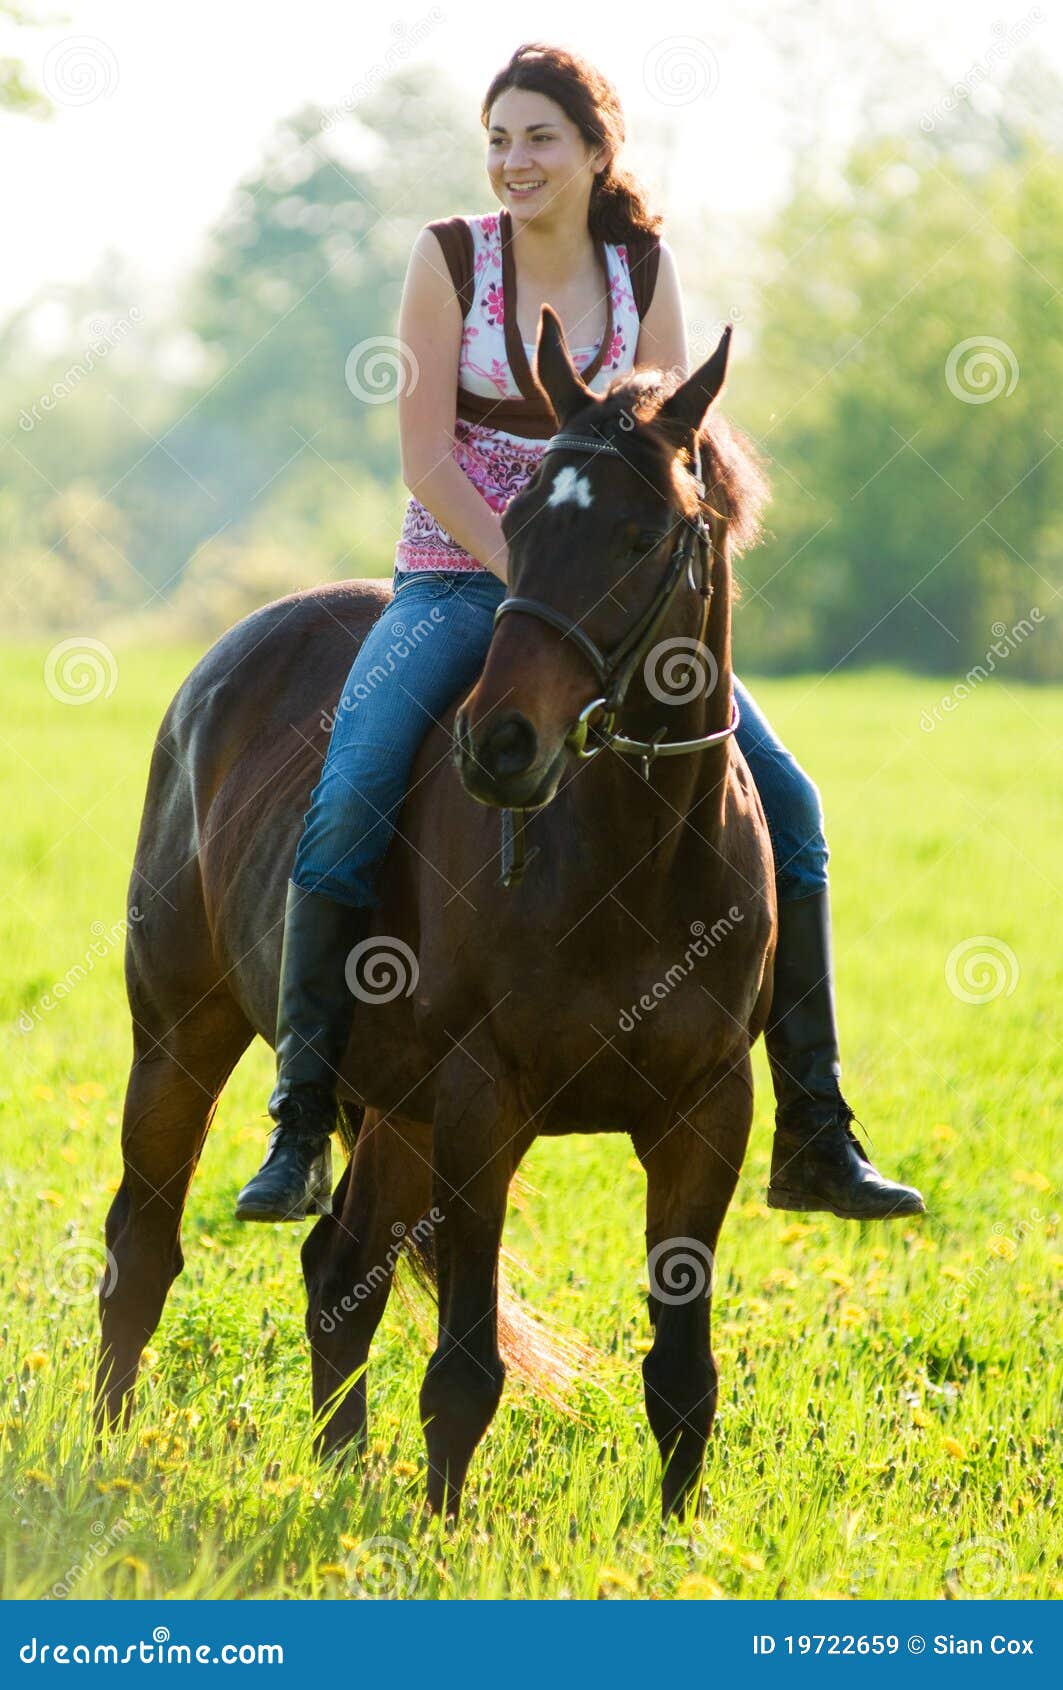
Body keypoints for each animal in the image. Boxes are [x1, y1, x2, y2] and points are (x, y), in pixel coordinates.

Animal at [97, 307, 770, 1521]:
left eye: (644, 535)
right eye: (516, 519)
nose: (501, 744)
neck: (631, 863)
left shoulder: (706, 1113)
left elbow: (683, 1370)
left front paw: (680, 1536)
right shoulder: (478, 1104)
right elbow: (463, 1370)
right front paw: (442, 1533)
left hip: (393, 1109)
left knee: (338, 1273)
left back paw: (341, 1475)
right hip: (181, 1036)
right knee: (144, 1249)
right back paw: (104, 1450)